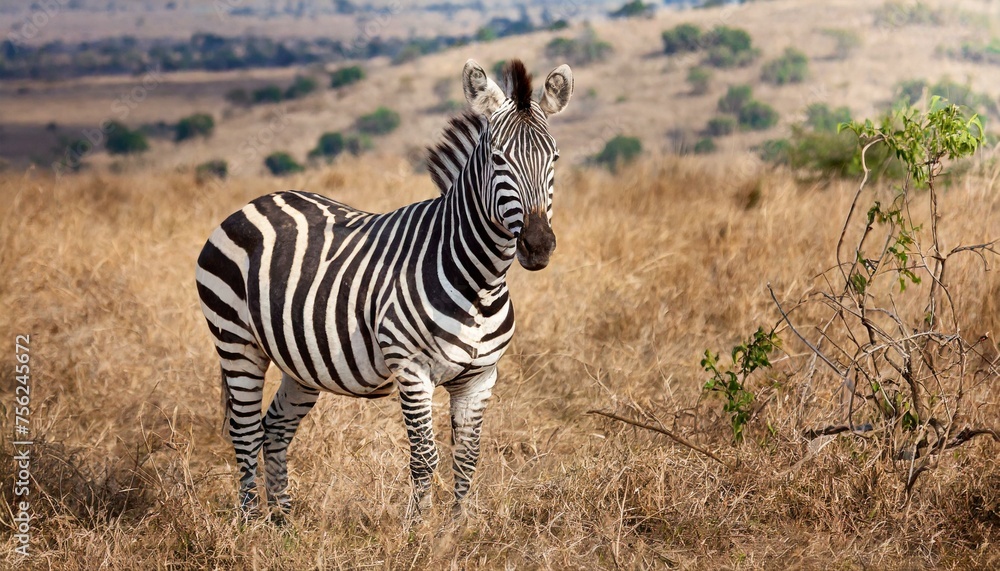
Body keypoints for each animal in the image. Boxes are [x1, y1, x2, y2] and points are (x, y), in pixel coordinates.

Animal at [194, 59, 576, 520]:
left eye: (554, 157)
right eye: (498, 158)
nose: (538, 246)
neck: (481, 285)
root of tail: (255, 202)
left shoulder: (480, 377)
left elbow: (467, 457)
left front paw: (458, 528)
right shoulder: (411, 368)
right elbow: (425, 456)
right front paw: (418, 529)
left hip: (298, 363)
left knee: (275, 429)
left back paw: (283, 521)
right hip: (236, 340)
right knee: (246, 431)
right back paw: (251, 524)